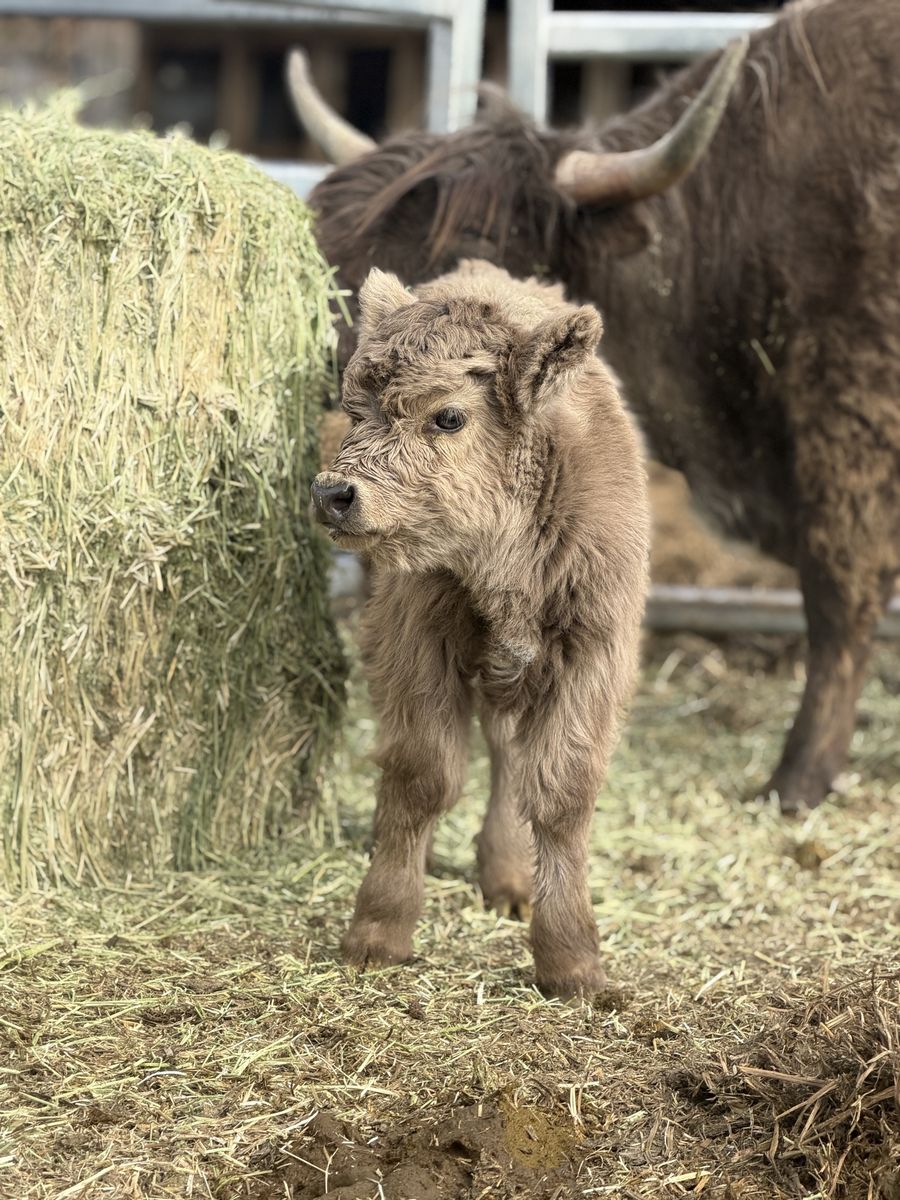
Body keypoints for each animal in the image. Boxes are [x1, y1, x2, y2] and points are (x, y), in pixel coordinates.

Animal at [311, 261, 649, 997]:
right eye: (356, 409)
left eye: (449, 415)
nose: (334, 494)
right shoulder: (416, 641)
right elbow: (421, 775)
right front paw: (377, 933)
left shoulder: (592, 652)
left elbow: (561, 795)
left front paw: (572, 963)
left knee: (510, 757)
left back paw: (511, 880)